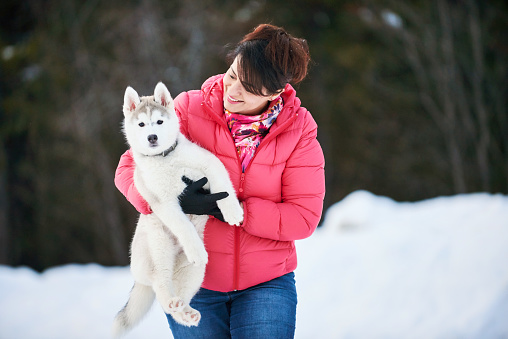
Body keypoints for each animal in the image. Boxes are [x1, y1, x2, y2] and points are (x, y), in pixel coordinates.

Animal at [113, 82, 244, 338]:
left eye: (159, 121)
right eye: (141, 124)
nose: (152, 137)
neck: (166, 159)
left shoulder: (209, 164)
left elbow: (223, 186)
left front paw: (232, 211)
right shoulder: (164, 202)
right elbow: (183, 225)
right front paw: (194, 245)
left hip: (192, 272)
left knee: (180, 294)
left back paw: (185, 312)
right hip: (159, 248)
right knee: (160, 284)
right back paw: (173, 300)